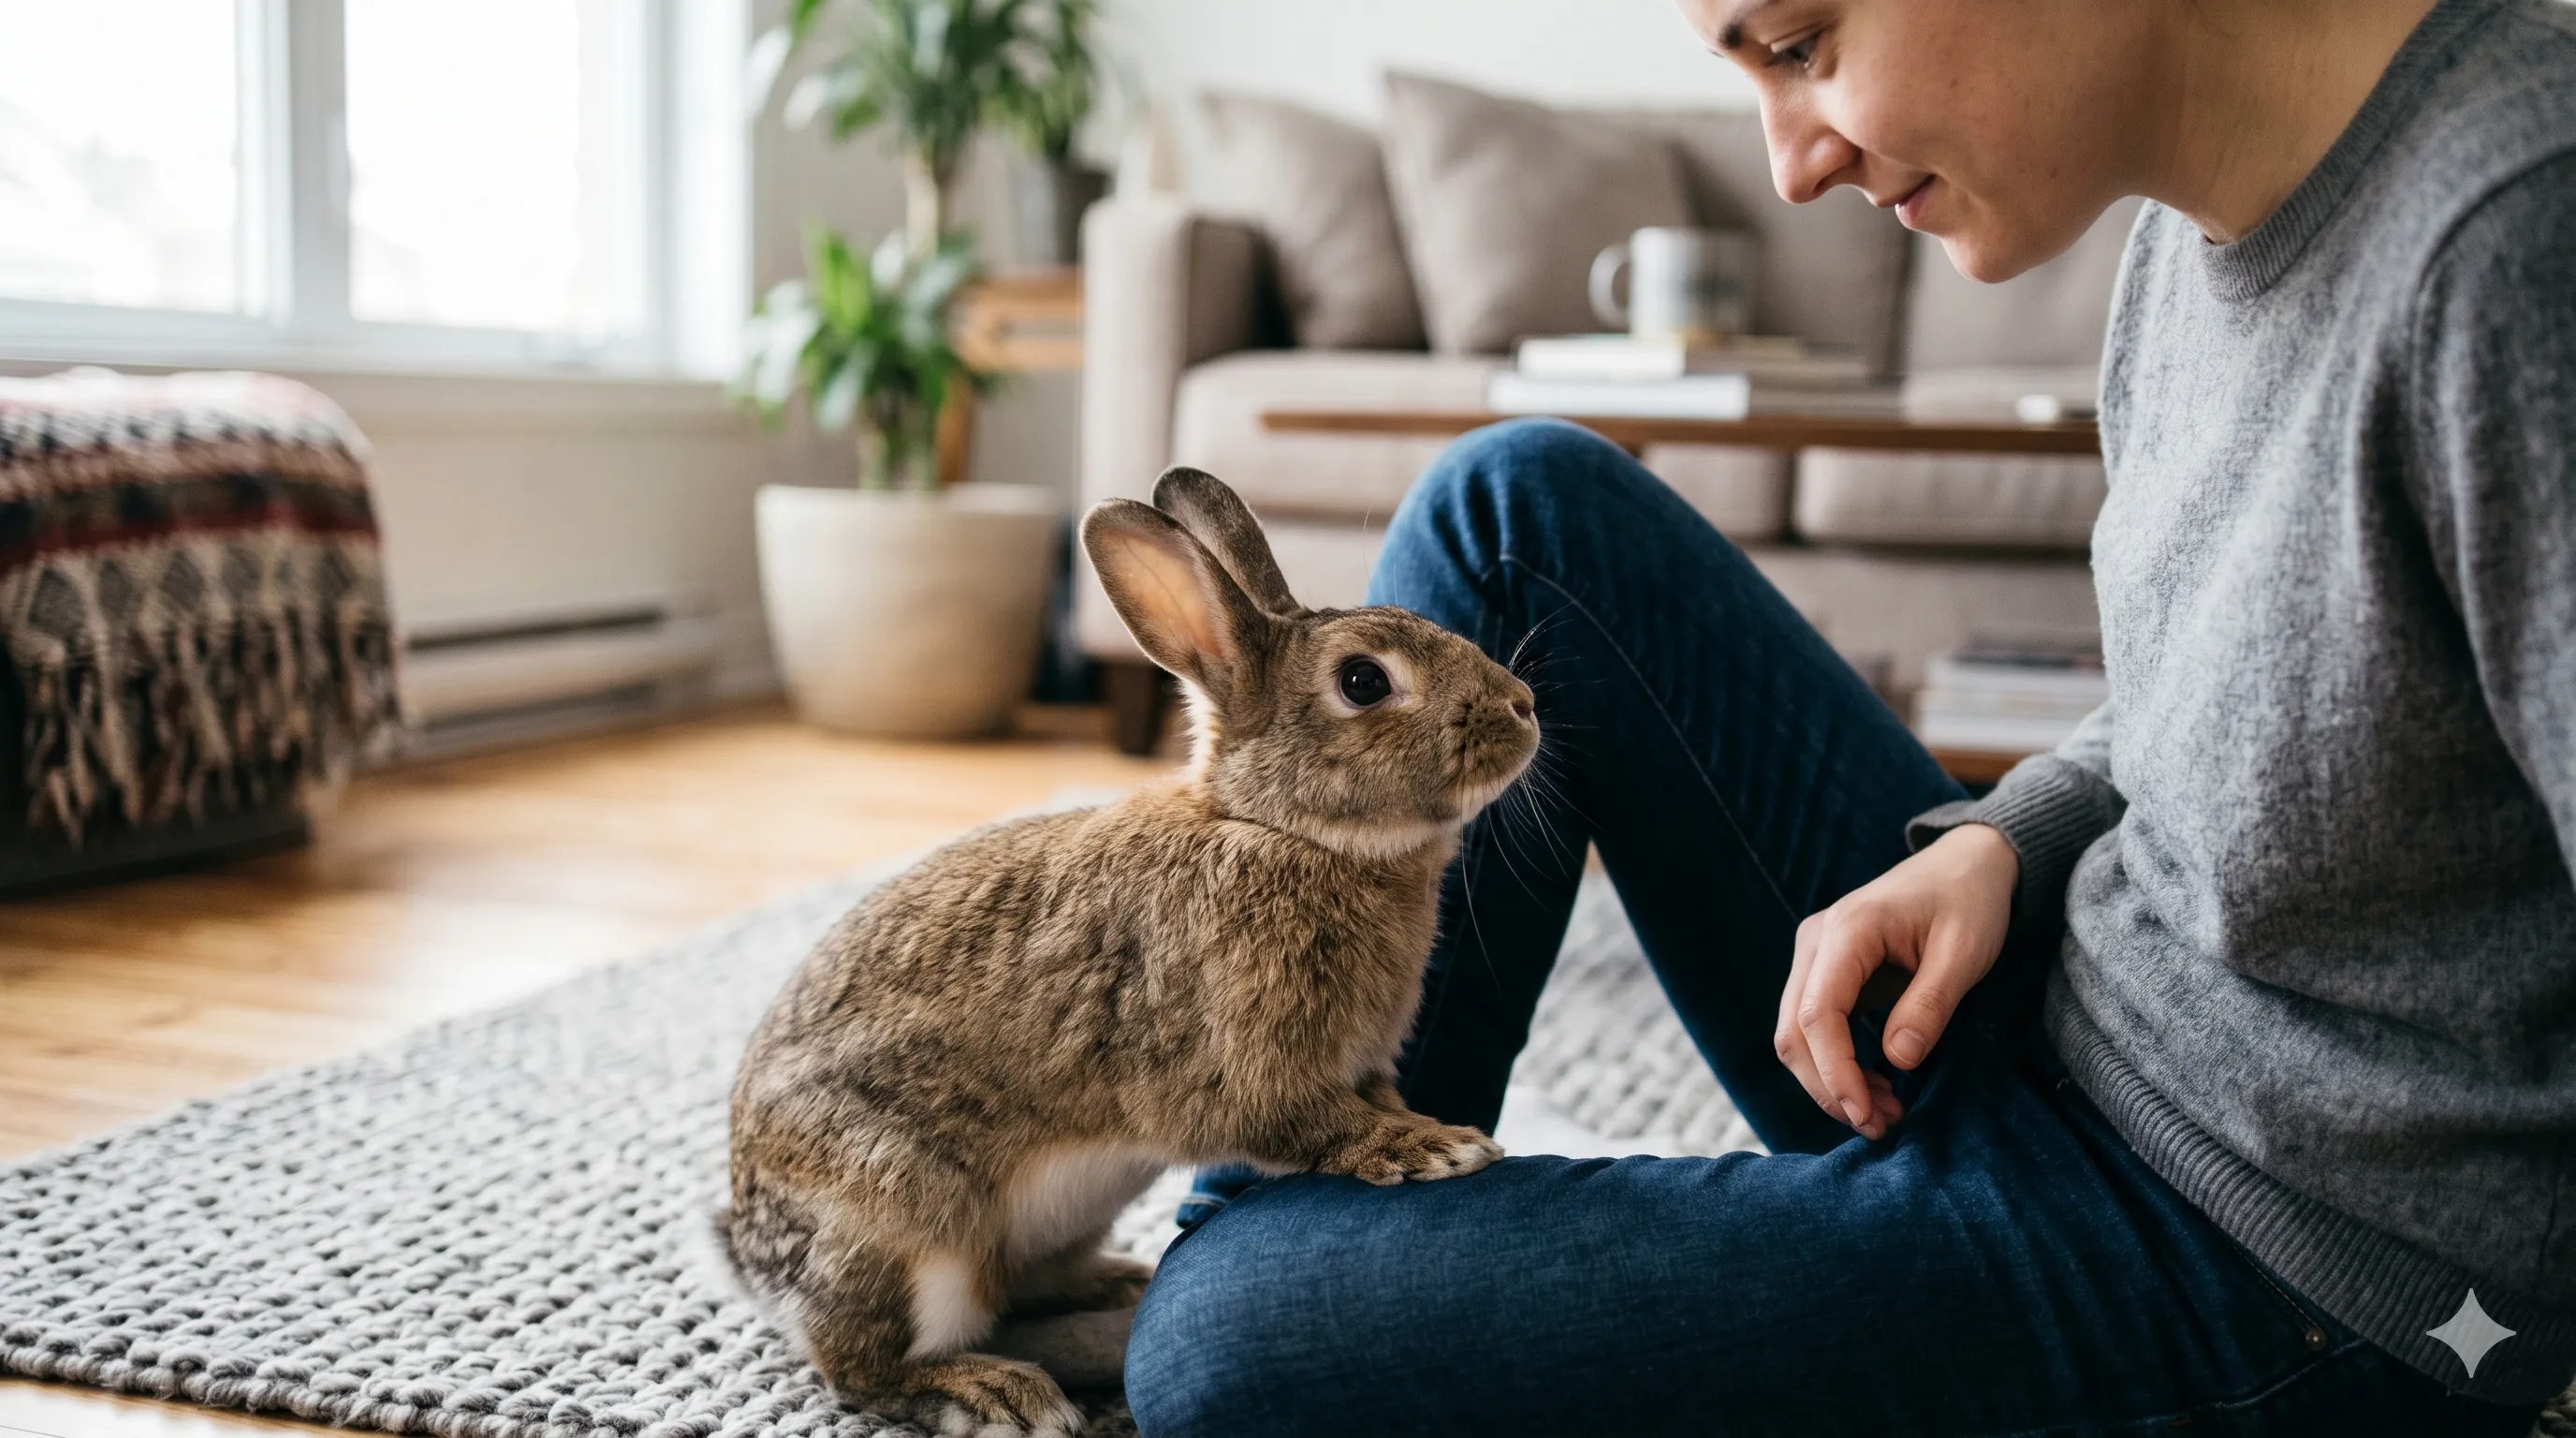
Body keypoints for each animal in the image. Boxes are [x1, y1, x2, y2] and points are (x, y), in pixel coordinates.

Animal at [715, 465, 1538, 1437]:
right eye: (1364, 681)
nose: (1525, 709)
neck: (1278, 829)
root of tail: (754, 1257)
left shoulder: (1360, 1060)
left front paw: (1425, 1129)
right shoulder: (1243, 1064)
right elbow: (1306, 1122)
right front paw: (1435, 1149)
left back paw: (1115, 1282)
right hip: (907, 1220)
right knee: (861, 1366)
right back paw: (999, 1392)